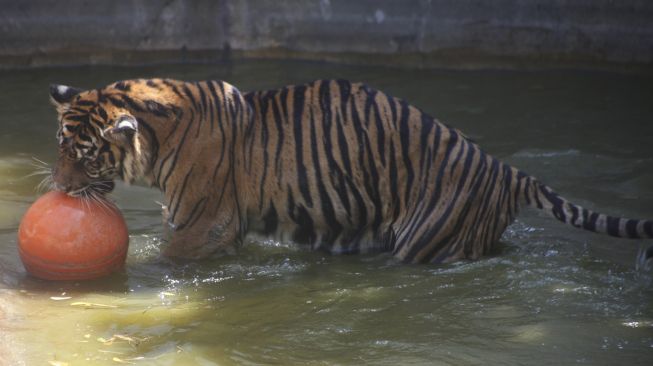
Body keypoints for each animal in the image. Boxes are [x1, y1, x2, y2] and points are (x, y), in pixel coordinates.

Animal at [47, 79, 652, 264]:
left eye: (85, 154)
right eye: (60, 147)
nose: (58, 187)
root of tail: (503, 169)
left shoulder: (206, 222)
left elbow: (168, 259)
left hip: (427, 239)